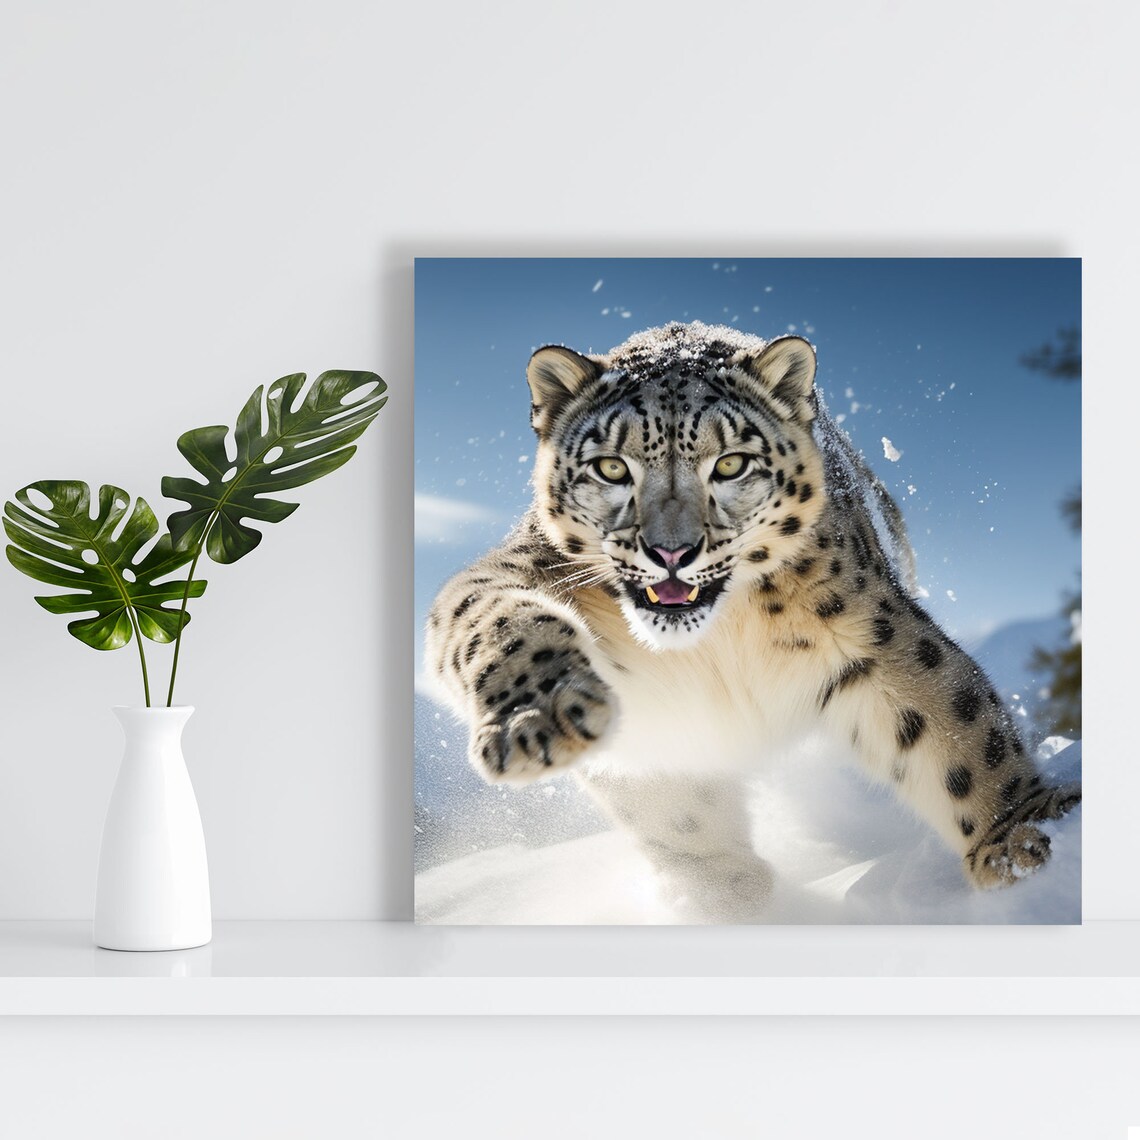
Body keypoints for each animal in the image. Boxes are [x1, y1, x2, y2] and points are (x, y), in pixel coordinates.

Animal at [424, 321, 1081, 921]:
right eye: (611, 468)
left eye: (731, 463)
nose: (671, 551)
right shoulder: (529, 574)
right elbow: (497, 620)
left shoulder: (871, 631)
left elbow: (954, 724)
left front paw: (1020, 839)